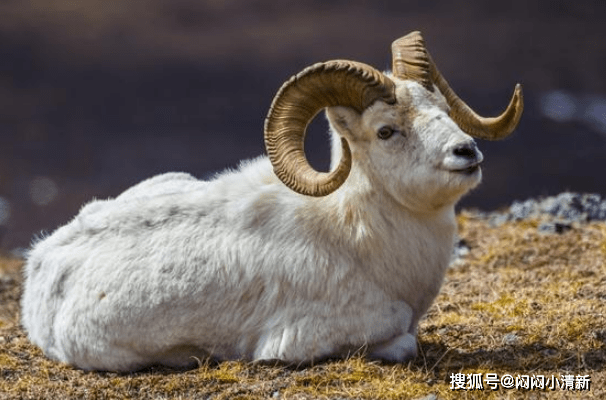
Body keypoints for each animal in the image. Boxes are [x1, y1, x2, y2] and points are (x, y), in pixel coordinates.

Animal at [19, 31, 524, 372]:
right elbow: (403, 340)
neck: (358, 239)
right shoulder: (309, 338)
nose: (466, 152)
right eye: (386, 131)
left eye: (443, 108)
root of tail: (41, 261)